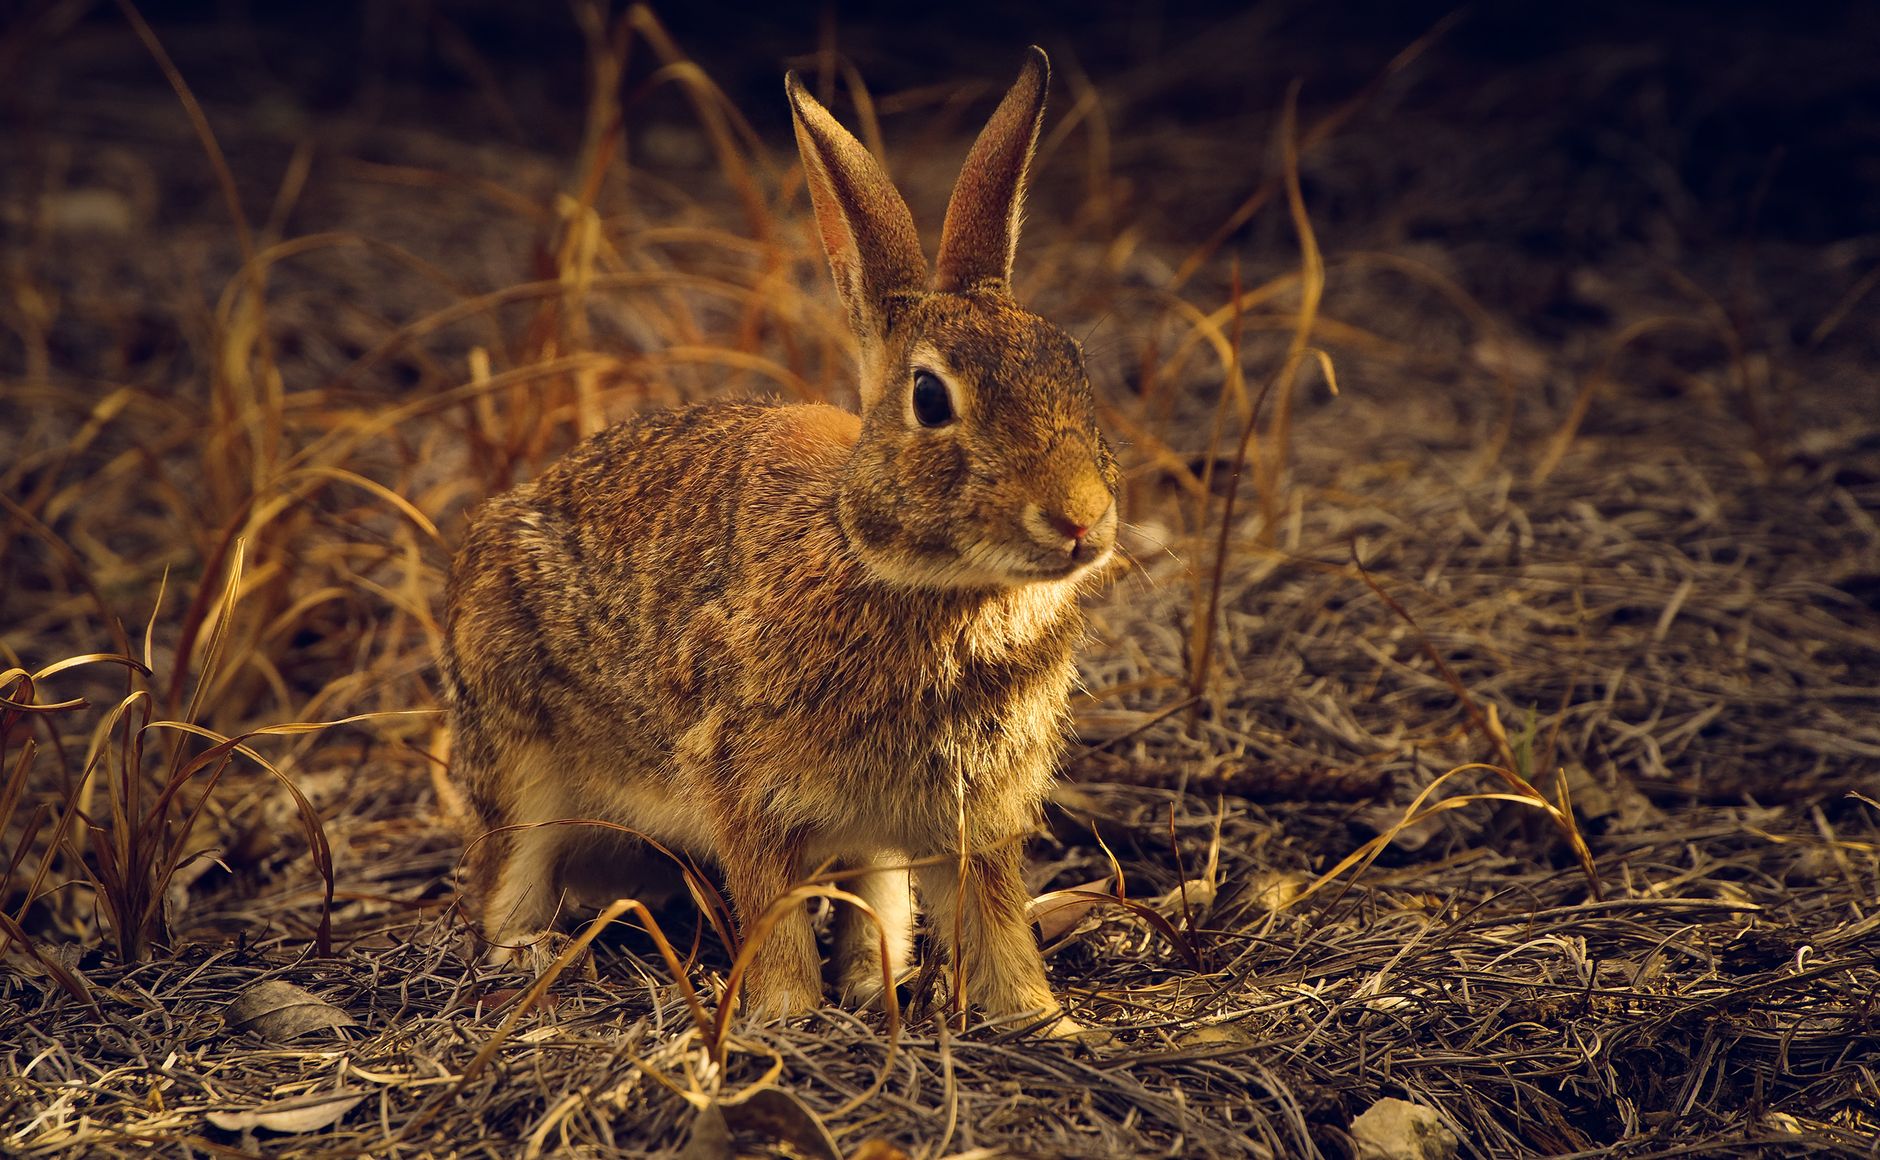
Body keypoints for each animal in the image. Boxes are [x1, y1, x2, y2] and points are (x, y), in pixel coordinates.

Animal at [440, 46, 1117, 1033]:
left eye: (1073, 367)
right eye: (930, 398)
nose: (1080, 518)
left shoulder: (975, 815)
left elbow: (995, 924)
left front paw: (1045, 1023)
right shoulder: (743, 786)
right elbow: (773, 911)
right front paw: (788, 1019)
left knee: (879, 901)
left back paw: (878, 982)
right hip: (518, 751)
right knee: (507, 871)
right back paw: (528, 955)